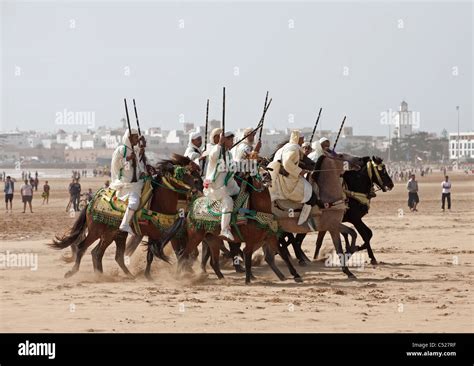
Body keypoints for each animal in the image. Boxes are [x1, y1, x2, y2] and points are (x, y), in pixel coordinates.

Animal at [49, 155, 202, 280]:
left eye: (196, 171)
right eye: (184, 173)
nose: (199, 184)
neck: (159, 203)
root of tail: (91, 202)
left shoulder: (162, 233)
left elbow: (153, 254)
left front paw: (149, 275)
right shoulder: (160, 234)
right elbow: (166, 252)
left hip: (115, 235)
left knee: (106, 255)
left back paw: (116, 275)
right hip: (98, 232)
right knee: (84, 248)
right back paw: (75, 272)